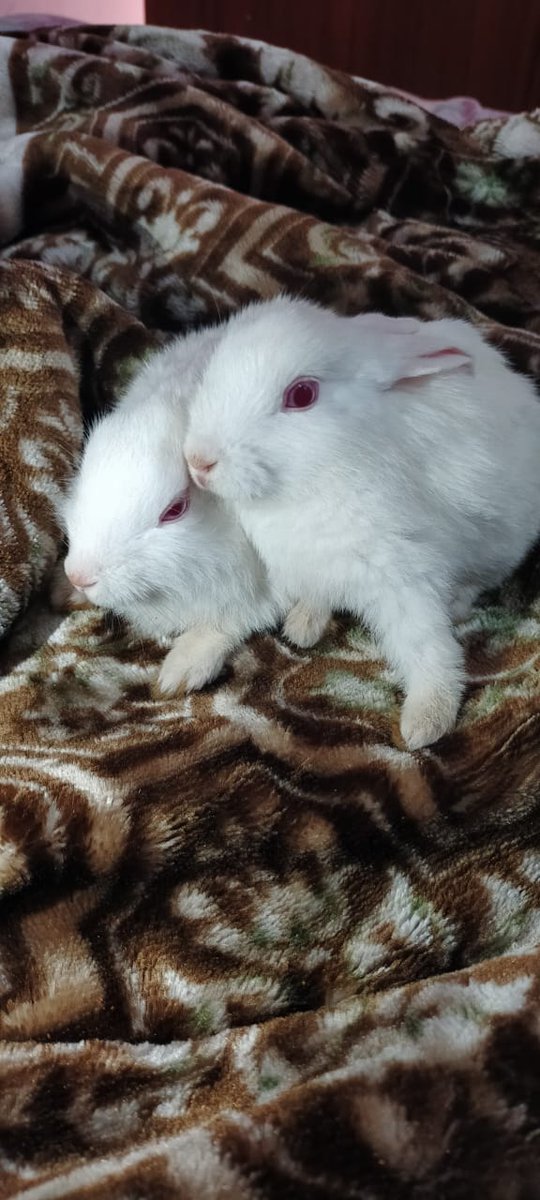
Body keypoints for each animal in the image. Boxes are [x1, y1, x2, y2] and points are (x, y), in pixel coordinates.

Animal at [183, 296, 540, 750]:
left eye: (302, 395)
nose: (197, 461)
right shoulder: (285, 565)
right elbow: (236, 612)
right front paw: (184, 662)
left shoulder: (402, 575)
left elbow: (425, 643)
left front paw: (427, 720)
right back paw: (304, 624)